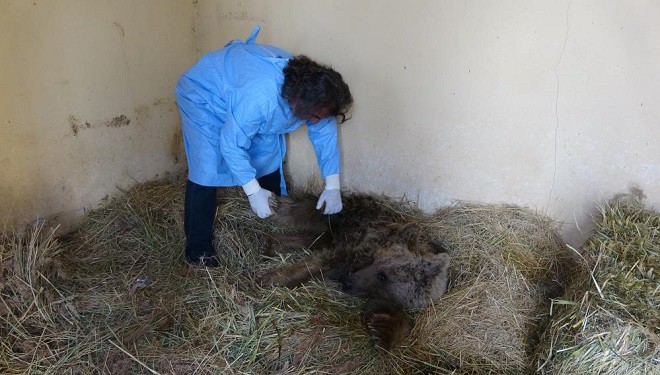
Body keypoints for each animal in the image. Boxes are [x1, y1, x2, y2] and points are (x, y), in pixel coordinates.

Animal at [258, 192, 448, 352]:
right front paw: (274, 278)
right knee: (312, 211)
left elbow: (396, 319)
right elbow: (319, 262)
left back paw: (271, 243)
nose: (348, 283)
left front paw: (381, 333)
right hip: (348, 212)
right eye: (377, 263)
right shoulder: (357, 248)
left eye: (383, 277)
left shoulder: (389, 299)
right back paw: (276, 206)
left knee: (316, 238)